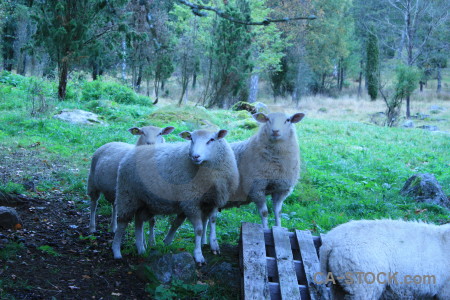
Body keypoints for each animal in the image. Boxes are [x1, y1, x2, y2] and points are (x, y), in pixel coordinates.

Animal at [112, 127, 239, 264]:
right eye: (191, 139)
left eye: (211, 140)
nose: (195, 156)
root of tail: (131, 152)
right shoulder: (191, 202)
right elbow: (199, 229)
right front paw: (198, 255)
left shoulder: (214, 200)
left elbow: (213, 221)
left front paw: (214, 245)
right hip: (127, 194)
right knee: (122, 223)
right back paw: (117, 251)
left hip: (144, 201)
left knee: (138, 221)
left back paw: (141, 249)